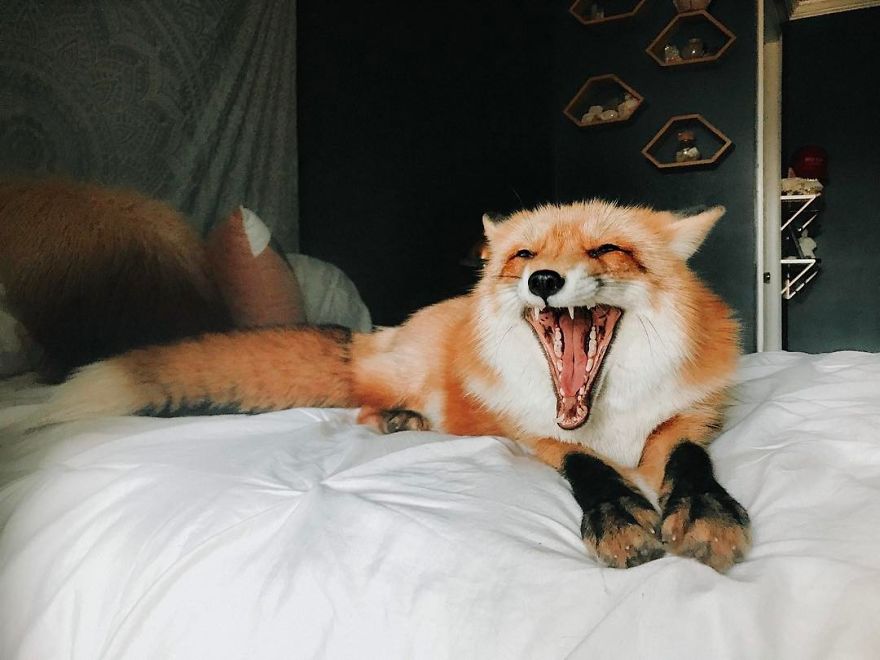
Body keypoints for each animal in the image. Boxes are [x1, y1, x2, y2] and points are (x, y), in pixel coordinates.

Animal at [2, 201, 750, 572]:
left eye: (605, 250)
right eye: (525, 257)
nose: (543, 280)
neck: (607, 416)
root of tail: (381, 332)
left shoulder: (689, 417)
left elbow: (692, 464)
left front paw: (706, 514)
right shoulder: (531, 433)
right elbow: (587, 468)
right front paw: (618, 515)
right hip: (411, 379)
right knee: (360, 405)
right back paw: (399, 420)